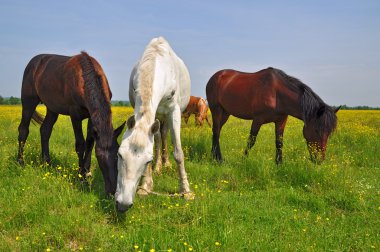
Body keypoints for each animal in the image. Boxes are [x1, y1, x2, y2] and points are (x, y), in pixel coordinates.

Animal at [18, 51, 124, 195]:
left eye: (117, 156)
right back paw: (20, 162)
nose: (112, 191)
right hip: (29, 102)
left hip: (52, 108)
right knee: (24, 130)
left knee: (45, 130)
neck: (84, 78)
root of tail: (33, 63)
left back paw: (46, 163)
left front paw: (87, 172)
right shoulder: (75, 115)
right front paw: (82, 179)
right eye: (99, 157)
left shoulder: (91, 116)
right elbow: (80, 145)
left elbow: (90, 143)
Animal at [116, 36, 193, 212]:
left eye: (146, 161)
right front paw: (145, 186)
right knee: (159, 138)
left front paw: (186, 191)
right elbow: (154, 142)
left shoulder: (174, 111)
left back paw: (166, 165)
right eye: (119, 155)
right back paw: (159, 167)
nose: (123, 205)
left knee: (164, 136)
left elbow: (178, 152)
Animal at [206, 68, 340, 164]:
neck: (277, 94)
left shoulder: (281, 120)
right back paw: (218, 159)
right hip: (216, 110)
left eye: (329, 132)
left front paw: (279, 163)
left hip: (225, 113)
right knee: (216, 132)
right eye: (316, 130)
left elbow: (279, 142)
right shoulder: (258, 119)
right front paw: (243, 159)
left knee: (216, 131)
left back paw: (214, 156)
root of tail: (214, 77)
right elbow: (251, 141)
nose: (319, 160)